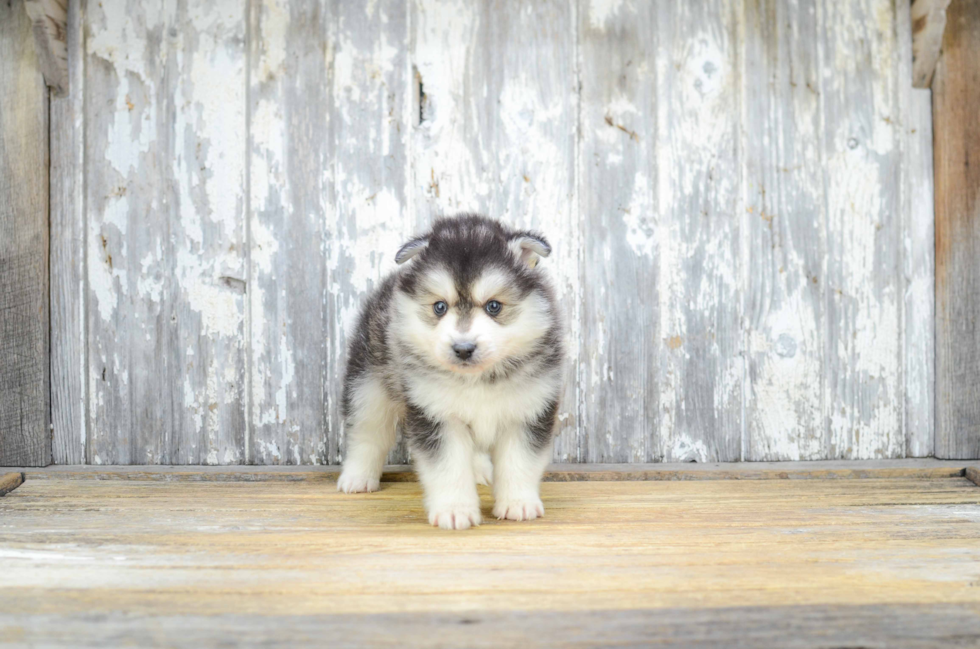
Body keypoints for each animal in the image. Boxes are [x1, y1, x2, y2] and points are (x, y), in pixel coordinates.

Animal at [338, 215, 564, 528]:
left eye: (494, 306)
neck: (477, 380)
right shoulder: (435, 414)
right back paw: (357, 477)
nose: (463, 348)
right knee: (367, 433)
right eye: (439, 307)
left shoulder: (529, 410)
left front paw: (518, 504)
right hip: (368, 386)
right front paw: (455, 510)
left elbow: (519, 462)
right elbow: (449, 467)